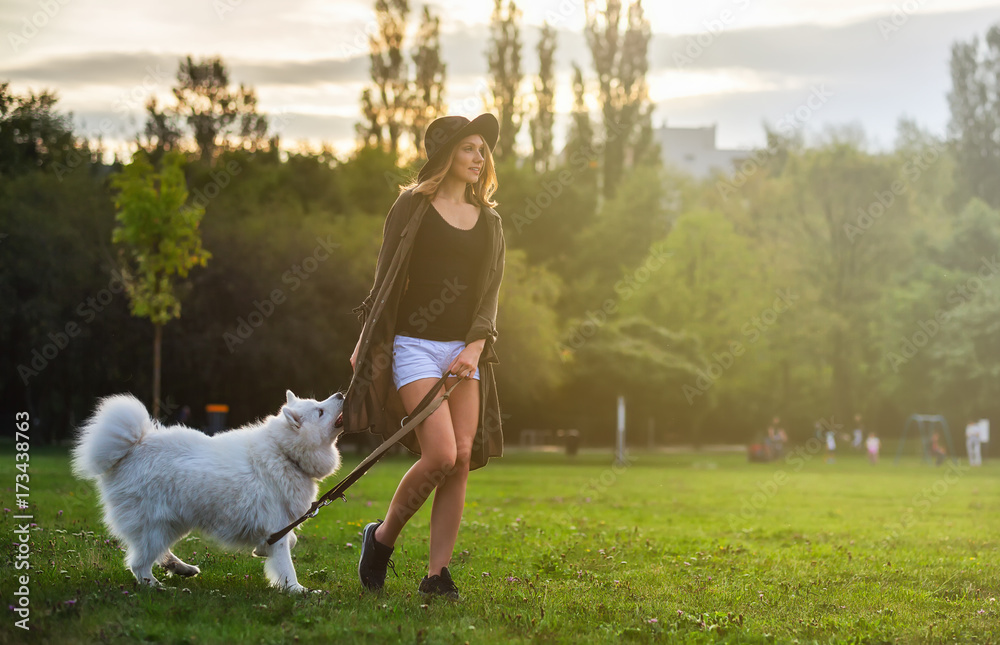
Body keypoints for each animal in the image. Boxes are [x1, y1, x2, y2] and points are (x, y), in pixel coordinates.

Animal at [70, 390, 344, 592]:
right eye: (320, 411)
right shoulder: (276, 527)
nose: (341, 394)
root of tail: (131, 448)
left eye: (319, 403)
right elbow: (287, 567)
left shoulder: (280, 528)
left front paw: (262, 551)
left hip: (172, 525)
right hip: (157, 526)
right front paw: (299, 591)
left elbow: (290, 540)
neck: (286, 454)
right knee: (139, 564)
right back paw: (158, 587)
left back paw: (180, 568)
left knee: (154, 555)